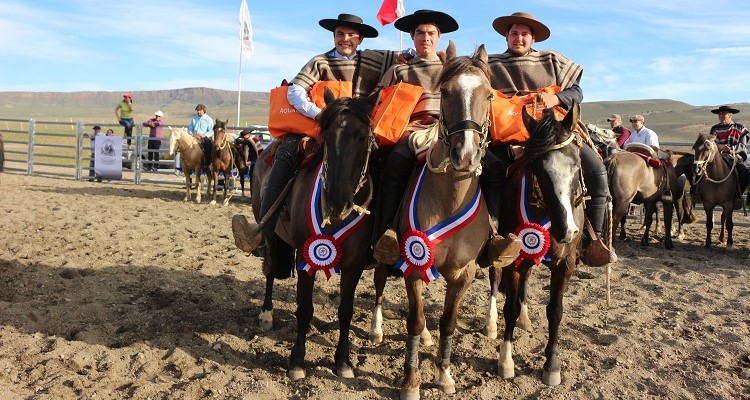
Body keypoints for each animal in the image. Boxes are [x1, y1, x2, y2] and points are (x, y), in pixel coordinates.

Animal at [248, 88, 376, 382]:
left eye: (362, 137)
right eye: (326, 137)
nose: (337, 202)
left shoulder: (354, 266)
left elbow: (346, 311)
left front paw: (343, 362)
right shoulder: (306, 260)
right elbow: (305, 309)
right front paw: (297, 362)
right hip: (272, 235)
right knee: (270, 270)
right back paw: (266, 315)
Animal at [490, 102, 592, 388]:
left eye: (577, 166)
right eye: (538, 169)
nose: (567, 230)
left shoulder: (565, 264)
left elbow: (555, 311)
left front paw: (551, 365)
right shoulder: (512, 260)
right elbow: (509, 309)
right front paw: (506, 361)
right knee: (495, 279)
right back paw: (491, 324)